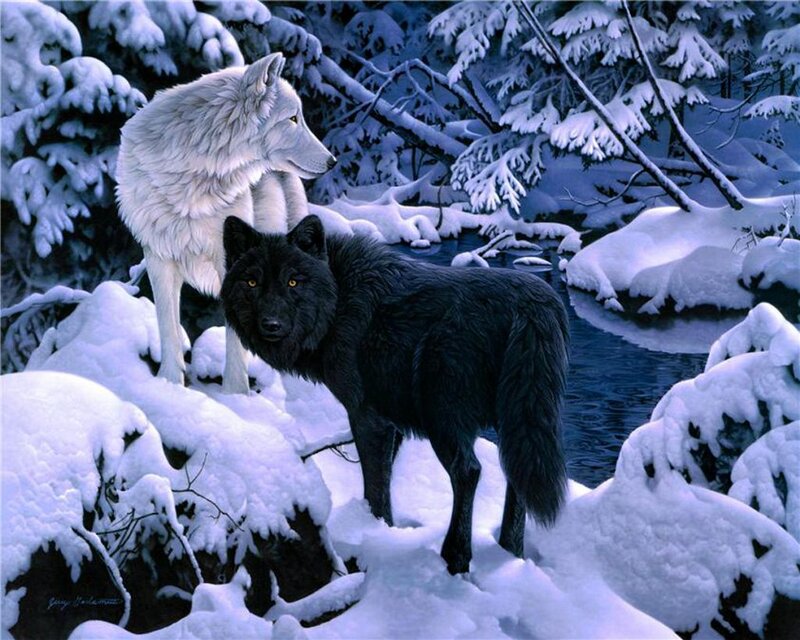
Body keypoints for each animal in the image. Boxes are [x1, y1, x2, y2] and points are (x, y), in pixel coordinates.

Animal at [116, 53, 335, 393]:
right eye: (293, 118)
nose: (332, 161)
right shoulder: (158, 258)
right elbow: (168, 328)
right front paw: (168, 386)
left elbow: (236, 341)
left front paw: (235, 395)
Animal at [221, 216, 570, 574]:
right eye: (251, 282)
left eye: (293, 282)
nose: (271, 324)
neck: (339, 299)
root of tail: (532, 302)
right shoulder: (393, 423)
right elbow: (385, 479)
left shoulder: (366, 416)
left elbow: (375, 488)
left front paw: (373, 535)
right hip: (517, 420)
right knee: (516, 475)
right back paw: (511, 554)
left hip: (443, 418)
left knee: (469, 471)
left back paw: (456, 557)